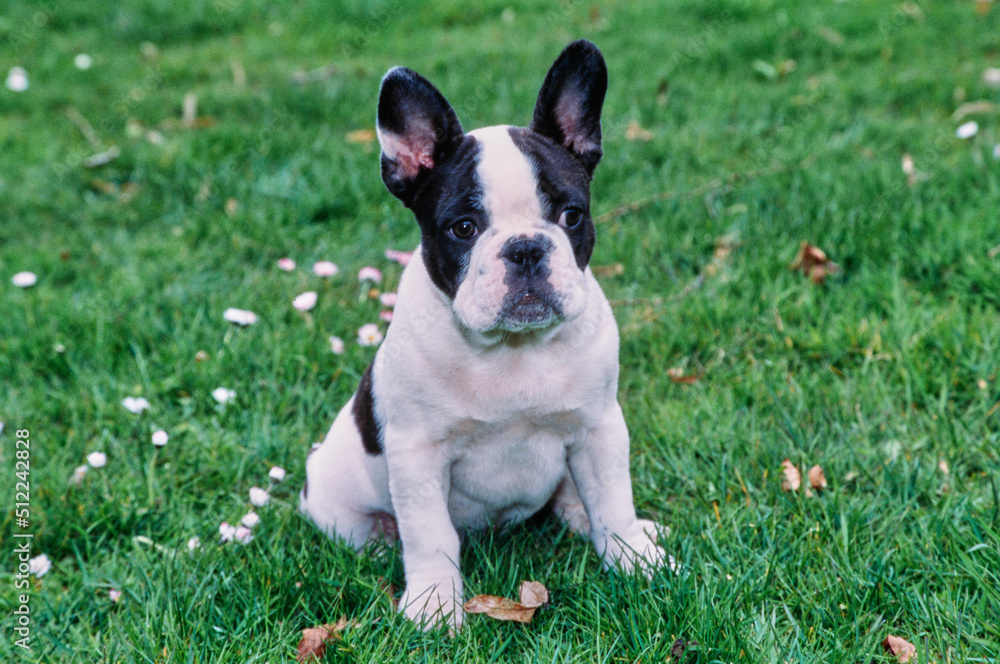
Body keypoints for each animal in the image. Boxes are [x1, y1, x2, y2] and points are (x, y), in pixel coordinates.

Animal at [300, 39, 668, 632]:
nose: (525, 249)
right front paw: (434, 604)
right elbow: (430, 535)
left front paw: (636, 560)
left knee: (578, 499)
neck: (514, 349)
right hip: (338, 500)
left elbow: (613, 501)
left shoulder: (599, 428)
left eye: (572, 216)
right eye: (464, 228)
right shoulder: (418, 454)